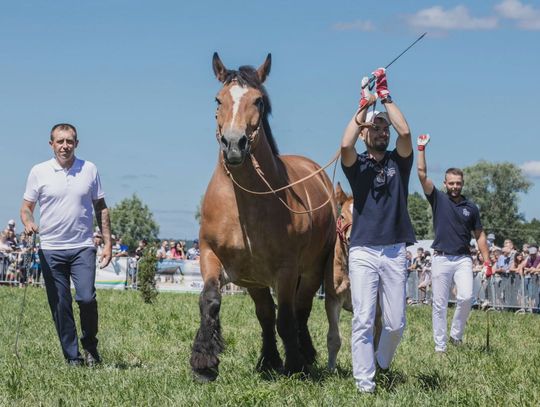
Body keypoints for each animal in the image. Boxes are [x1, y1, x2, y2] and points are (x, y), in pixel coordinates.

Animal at [189, 54, 338, 382]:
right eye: (218, 99)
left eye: (257, 101)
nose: (234, 144)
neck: (243, 205)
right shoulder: (211, 255)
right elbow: (210, 301)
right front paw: (204, 363)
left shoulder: (287, 269)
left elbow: (287, 317)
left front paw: (295, 364)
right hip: (255, 279)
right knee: (266, 314)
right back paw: (268, 359)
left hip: (311, 271)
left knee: (300, 310)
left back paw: (304, 355)